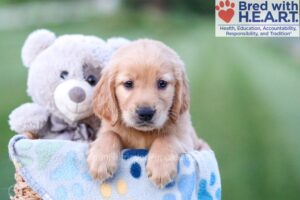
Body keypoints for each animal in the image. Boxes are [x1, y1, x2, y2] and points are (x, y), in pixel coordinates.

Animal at [88, 38, 207, 188]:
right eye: (128, 83)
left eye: (162, 83)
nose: (145, 113)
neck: (142, 133)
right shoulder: (107, 128)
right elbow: (110, 134)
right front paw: (100, 160)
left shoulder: (187, 140)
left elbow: (167, 137)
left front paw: (161, 167)